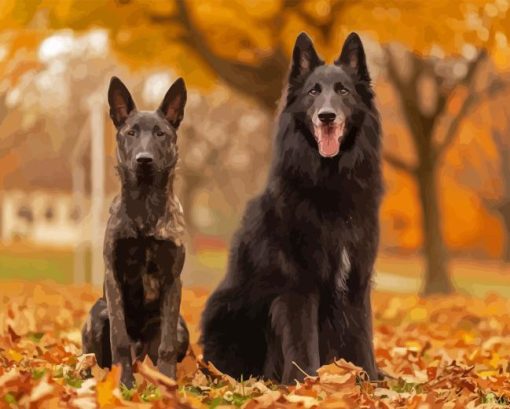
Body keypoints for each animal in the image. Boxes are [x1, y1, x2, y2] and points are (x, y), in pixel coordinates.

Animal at [81, 76, 189, 386]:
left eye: (160, 133)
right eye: (130, 133)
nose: (144, 159)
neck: (145, 208)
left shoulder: (172, 280)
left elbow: (166, 346)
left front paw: (168, 384)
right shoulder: (113, 276)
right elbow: (119, 339)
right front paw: (124, 385)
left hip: (182, 327)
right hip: (97, 313)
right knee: (97, 357)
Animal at [200, 31, 382, 382]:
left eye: (343, 90)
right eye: (314, 91)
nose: (327, 116)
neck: (329, 184)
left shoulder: (357, 280)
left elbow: (362, 338)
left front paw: (370, 381)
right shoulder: (297, 286)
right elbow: (302, 343)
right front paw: (304, 384)